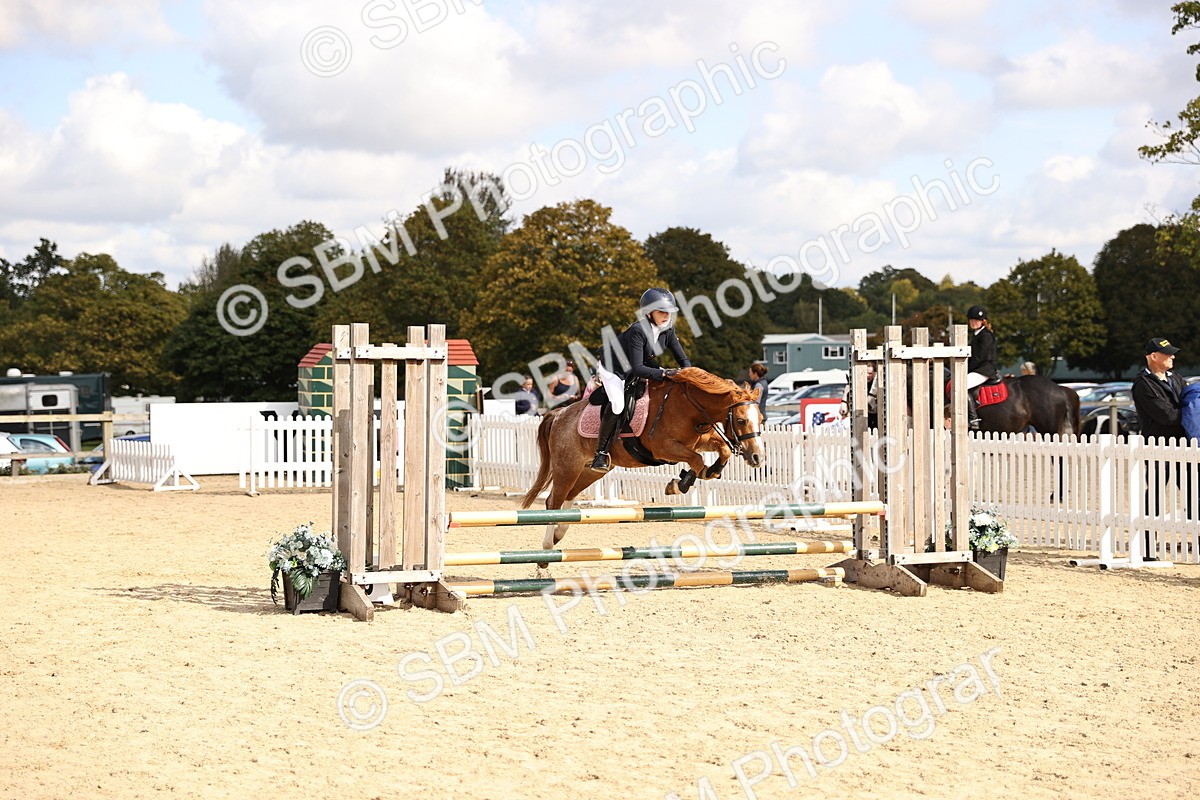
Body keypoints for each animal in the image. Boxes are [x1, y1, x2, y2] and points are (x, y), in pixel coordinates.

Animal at [519, 367, 766, 559]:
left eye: (761, 419)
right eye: (741, 420)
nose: (758, 458)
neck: (690, 406)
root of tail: (559, 414)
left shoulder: (704, 440)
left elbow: (722, 450)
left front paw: (710, 472)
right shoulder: (664, 448)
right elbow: (696, 460)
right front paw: (679, 484)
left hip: (593, 470)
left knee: (569, 497)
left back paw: (559, 533)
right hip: (567, 466)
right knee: (553, 501)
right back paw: (547, 549)